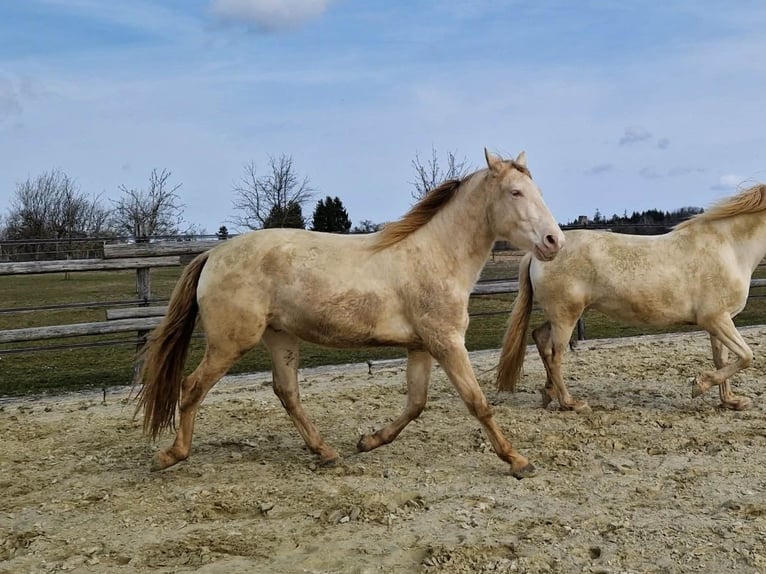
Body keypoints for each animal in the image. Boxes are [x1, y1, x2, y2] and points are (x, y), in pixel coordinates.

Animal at [136, 149, 565, 479]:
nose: (554, 242)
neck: (434, 256)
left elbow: (416, 403)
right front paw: (518, 461)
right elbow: (478, 403)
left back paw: (326, 452)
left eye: (539, 191)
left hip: (280, 336)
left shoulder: (421, 347)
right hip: (231, 342)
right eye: (515, 191)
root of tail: (211, 254)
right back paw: (170, 455)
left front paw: (368, 441)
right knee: (192, 386)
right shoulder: (447, 344)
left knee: (287, 392)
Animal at [496, 183, 766, 413]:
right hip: (566, 316)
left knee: (541, 338)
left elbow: (723, 359)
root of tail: (538, 253)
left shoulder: (720, 320)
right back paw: (571, 403)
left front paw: (731, 401)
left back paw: (548, 393)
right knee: (555, 354)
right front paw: (699, 384)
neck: (728, 248)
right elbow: (746, 356)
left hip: (564, 314)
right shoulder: (715, 319)